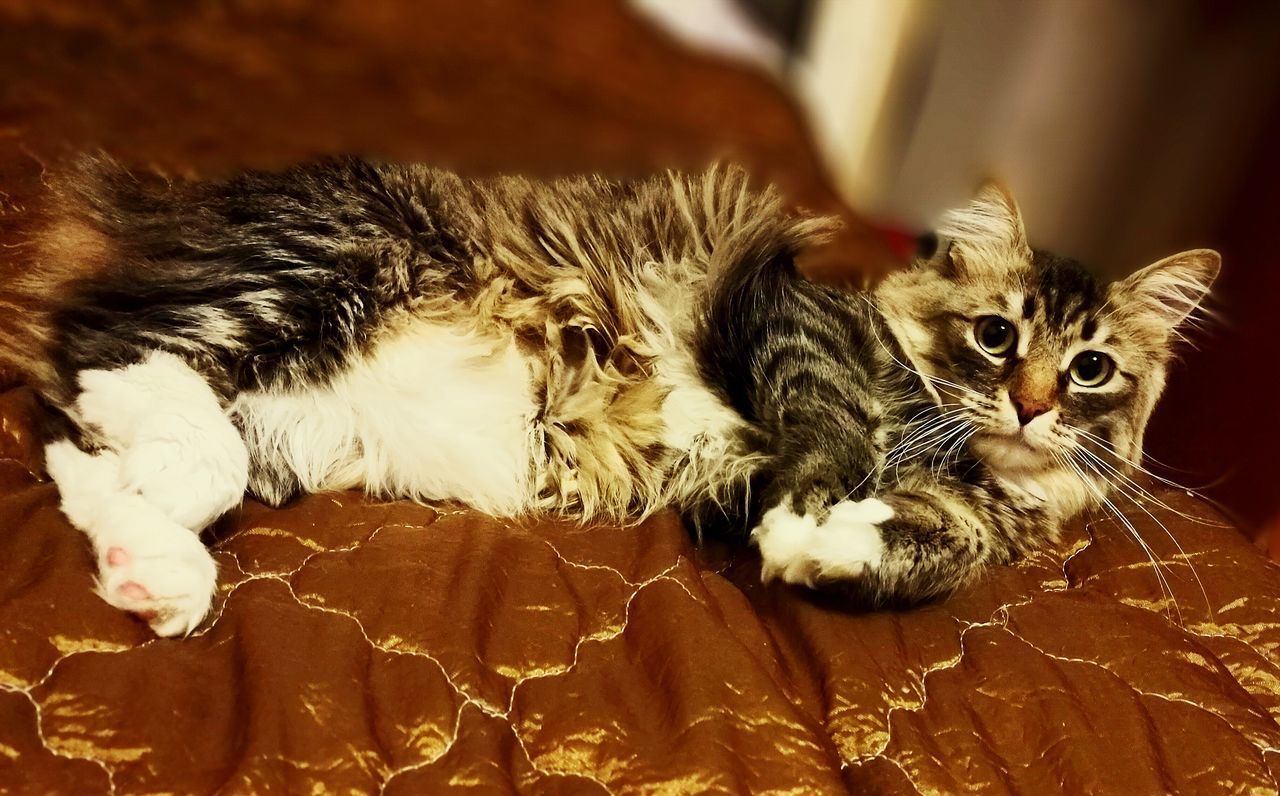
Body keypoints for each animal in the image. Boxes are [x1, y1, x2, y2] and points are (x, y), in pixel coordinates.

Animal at [0, 159, 1213, 639]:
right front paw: (819, 515)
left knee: (93, 453)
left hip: (290, 420)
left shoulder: (743, 483)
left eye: (1092, 368)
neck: (950, 456)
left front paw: (831, 547)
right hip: (325, 265)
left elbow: (930, 560)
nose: (1032, 403)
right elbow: (827, 435)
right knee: (112, 369)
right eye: (996, 333)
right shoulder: (790, 319)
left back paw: (148, 568)